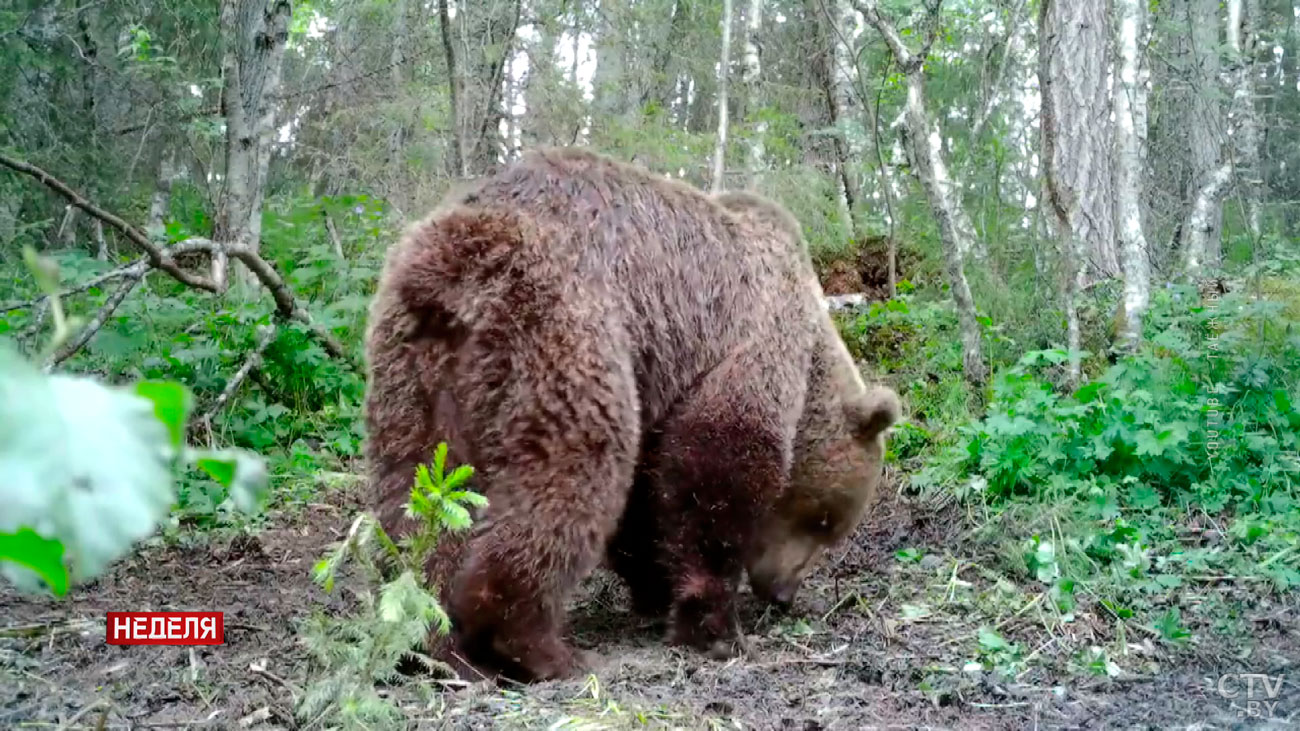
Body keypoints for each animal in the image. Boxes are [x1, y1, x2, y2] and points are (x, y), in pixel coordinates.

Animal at [361, 149, 899, 681]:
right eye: (825, 522)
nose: (784, 593)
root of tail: (456, 270)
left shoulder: (660, 383)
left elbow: (648, 501)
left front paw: (656, 588)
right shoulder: (748, 337)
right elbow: (718, 464)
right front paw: (716, 628)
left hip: (411, 370)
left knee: (419, 491)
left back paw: (433, 636)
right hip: (560, 323)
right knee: (570, 476)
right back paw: (533, 644)